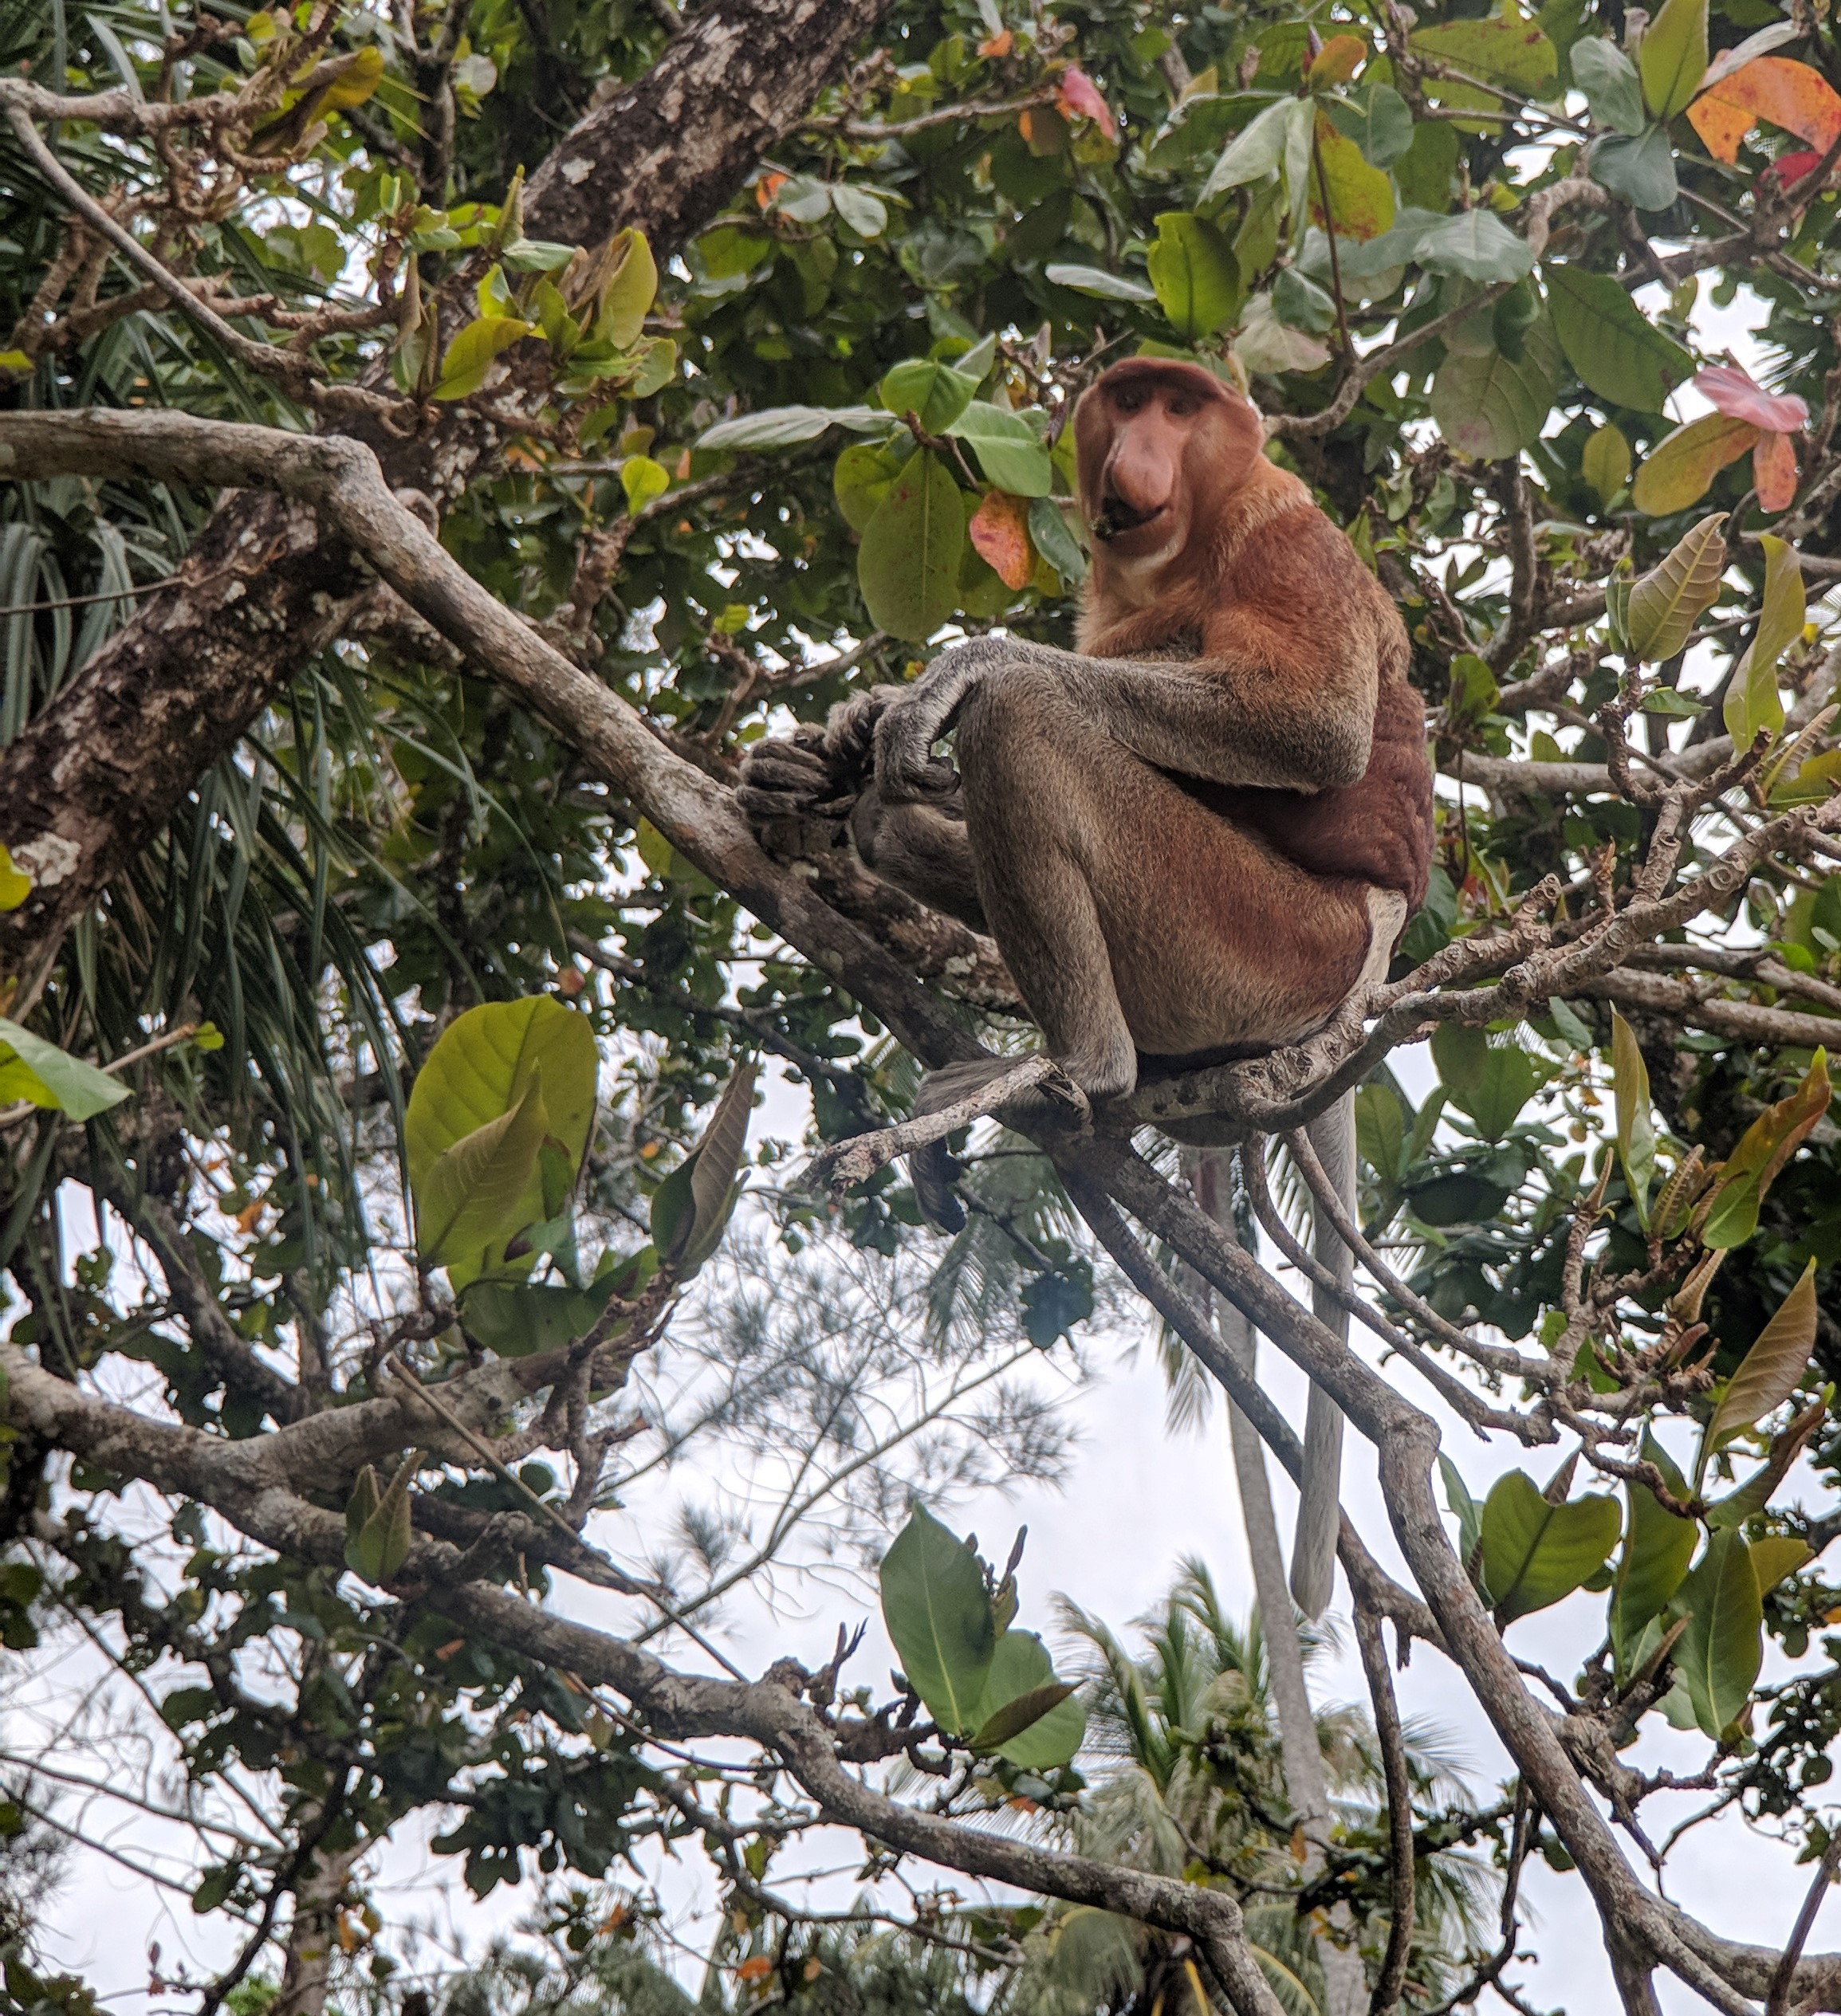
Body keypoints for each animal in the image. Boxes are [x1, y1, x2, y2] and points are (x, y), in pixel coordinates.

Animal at [738, 358, 1434, 1614]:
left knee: (1030, 725)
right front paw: (831, 745)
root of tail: (1369, 961)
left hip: (1254, 934)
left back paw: (1073, 1068)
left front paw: (952, 674)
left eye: (1182, 406)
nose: (1136, 456)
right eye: (1132, 400)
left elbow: (1305, 724)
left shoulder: (1283, 532)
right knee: (905, 817)